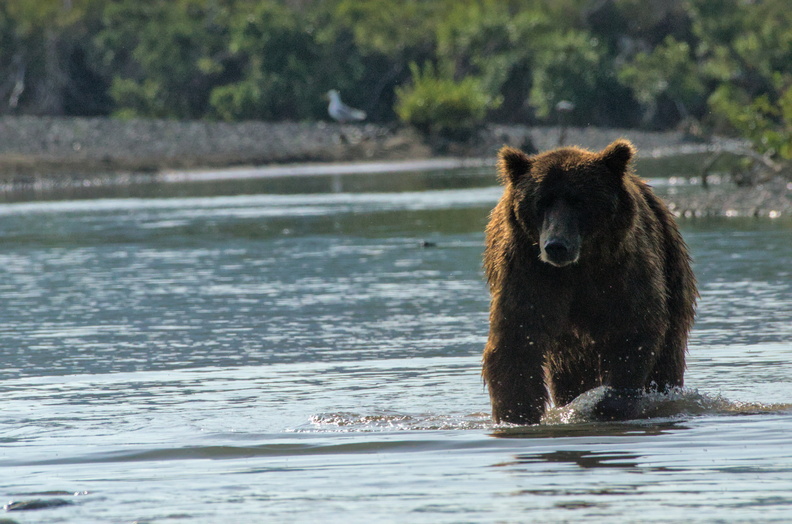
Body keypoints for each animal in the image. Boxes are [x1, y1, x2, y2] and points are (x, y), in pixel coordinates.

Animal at [482, 139, 697, 424]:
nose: (556, 245)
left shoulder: (619, 270)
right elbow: (517, 338)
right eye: (541, 201)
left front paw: (609, 403)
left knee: (668, 354)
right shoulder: (529, 272)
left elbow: (632, 328)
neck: (578, 266)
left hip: (672, 271)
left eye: (579, 201)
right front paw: (518, 414)